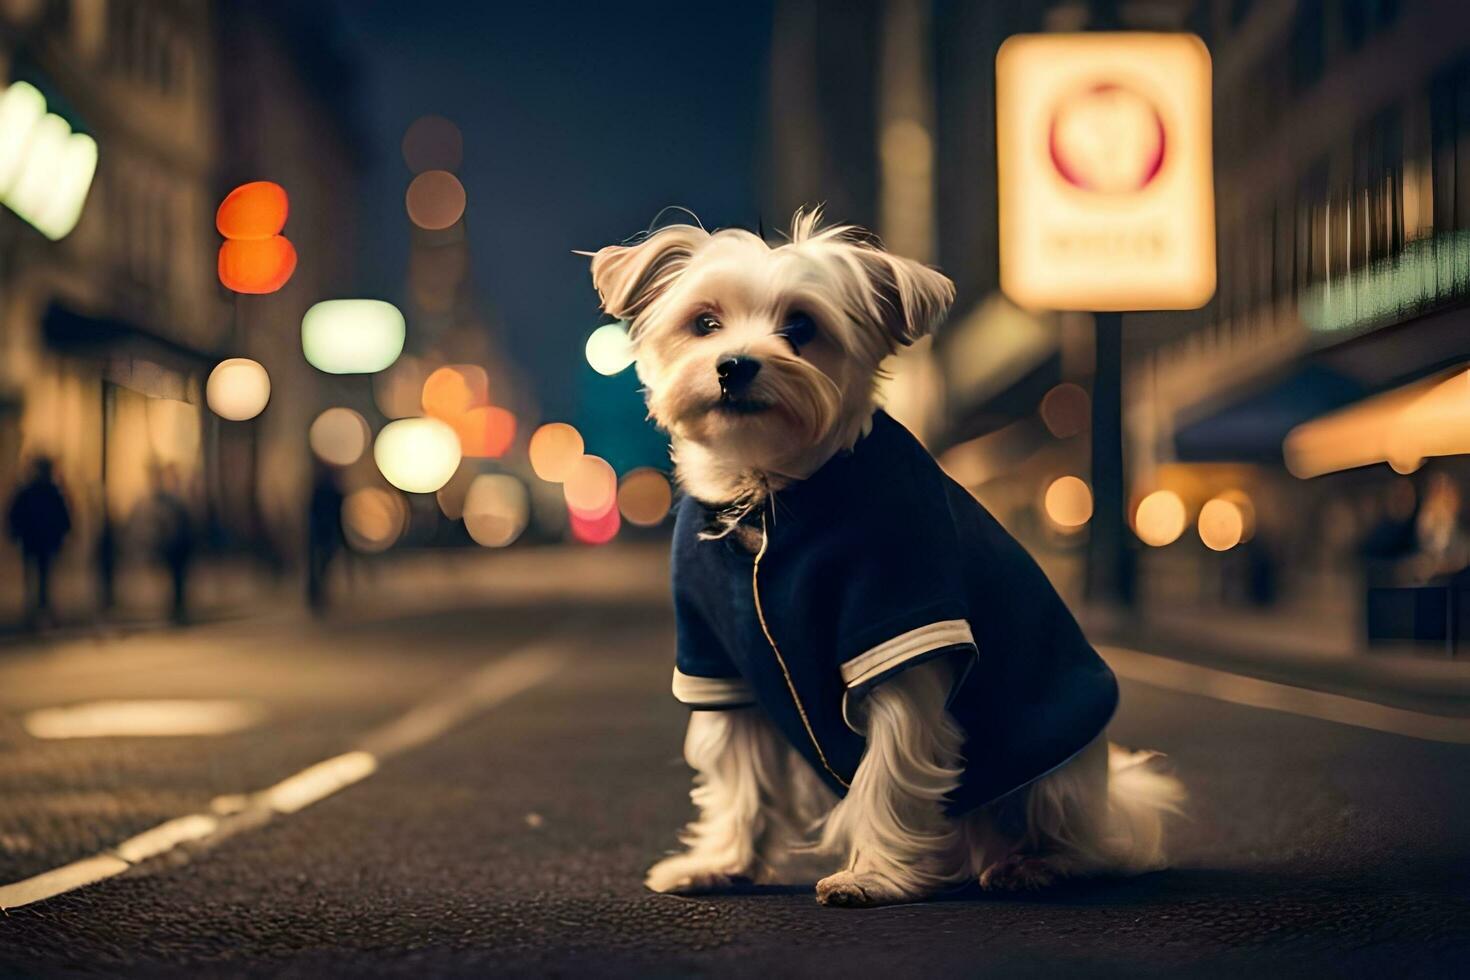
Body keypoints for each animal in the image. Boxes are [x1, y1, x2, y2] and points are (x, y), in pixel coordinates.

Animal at [585, 211, 1181, 910]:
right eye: (704, 323)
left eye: (802, 328)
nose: (734, 365)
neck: (768, 497)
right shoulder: (719, 666)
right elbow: (739, 781)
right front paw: (720, 862)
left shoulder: (901, 636)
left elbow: (888, 775)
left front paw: (872, 876)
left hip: (1055, 780)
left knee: (1081, 842)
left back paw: (1034, 863)